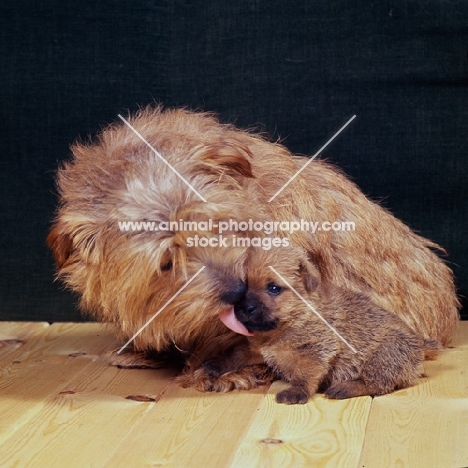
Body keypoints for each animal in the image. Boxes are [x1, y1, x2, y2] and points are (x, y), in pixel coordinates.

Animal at [214, 247, 436, 404]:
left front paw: (297, 391)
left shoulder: (316, 350)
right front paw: (216, 365)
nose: (245, 308)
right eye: (243, 287)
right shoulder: (257, 350)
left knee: (378, 383)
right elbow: (237, 355)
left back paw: (344, 388)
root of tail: (420, 343)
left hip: (386, 352)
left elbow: (306, 374)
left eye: (274, 288)